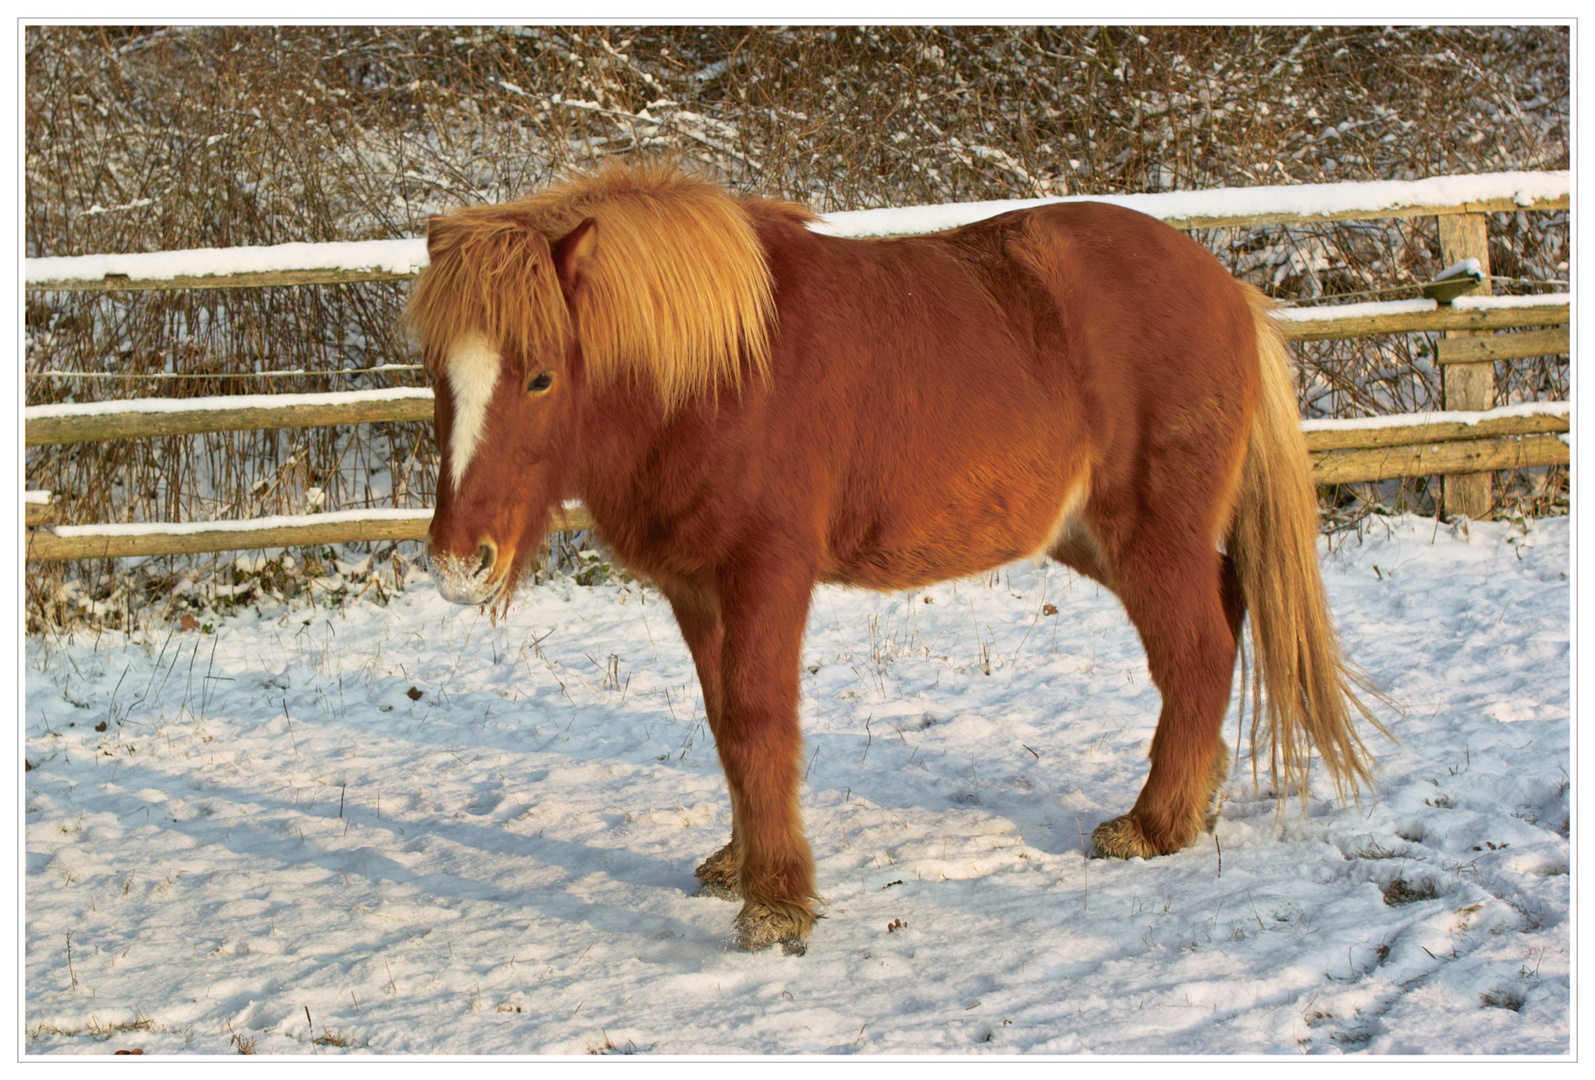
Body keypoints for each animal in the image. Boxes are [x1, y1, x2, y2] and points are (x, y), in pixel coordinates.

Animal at [408, 157, 1384, 950]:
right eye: (436, 373)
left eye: (541, 375)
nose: (460, 563)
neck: (721, 373)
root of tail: (1227, 291)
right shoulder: (695, 589)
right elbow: (725, 726)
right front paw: (740, 864)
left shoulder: (765, 574)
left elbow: (759, 724)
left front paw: (776, 903)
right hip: (1099, 539)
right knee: (1221, 617)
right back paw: (1196, 799)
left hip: (1149, 535)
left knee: (1198, 653)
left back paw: (1153, 827)